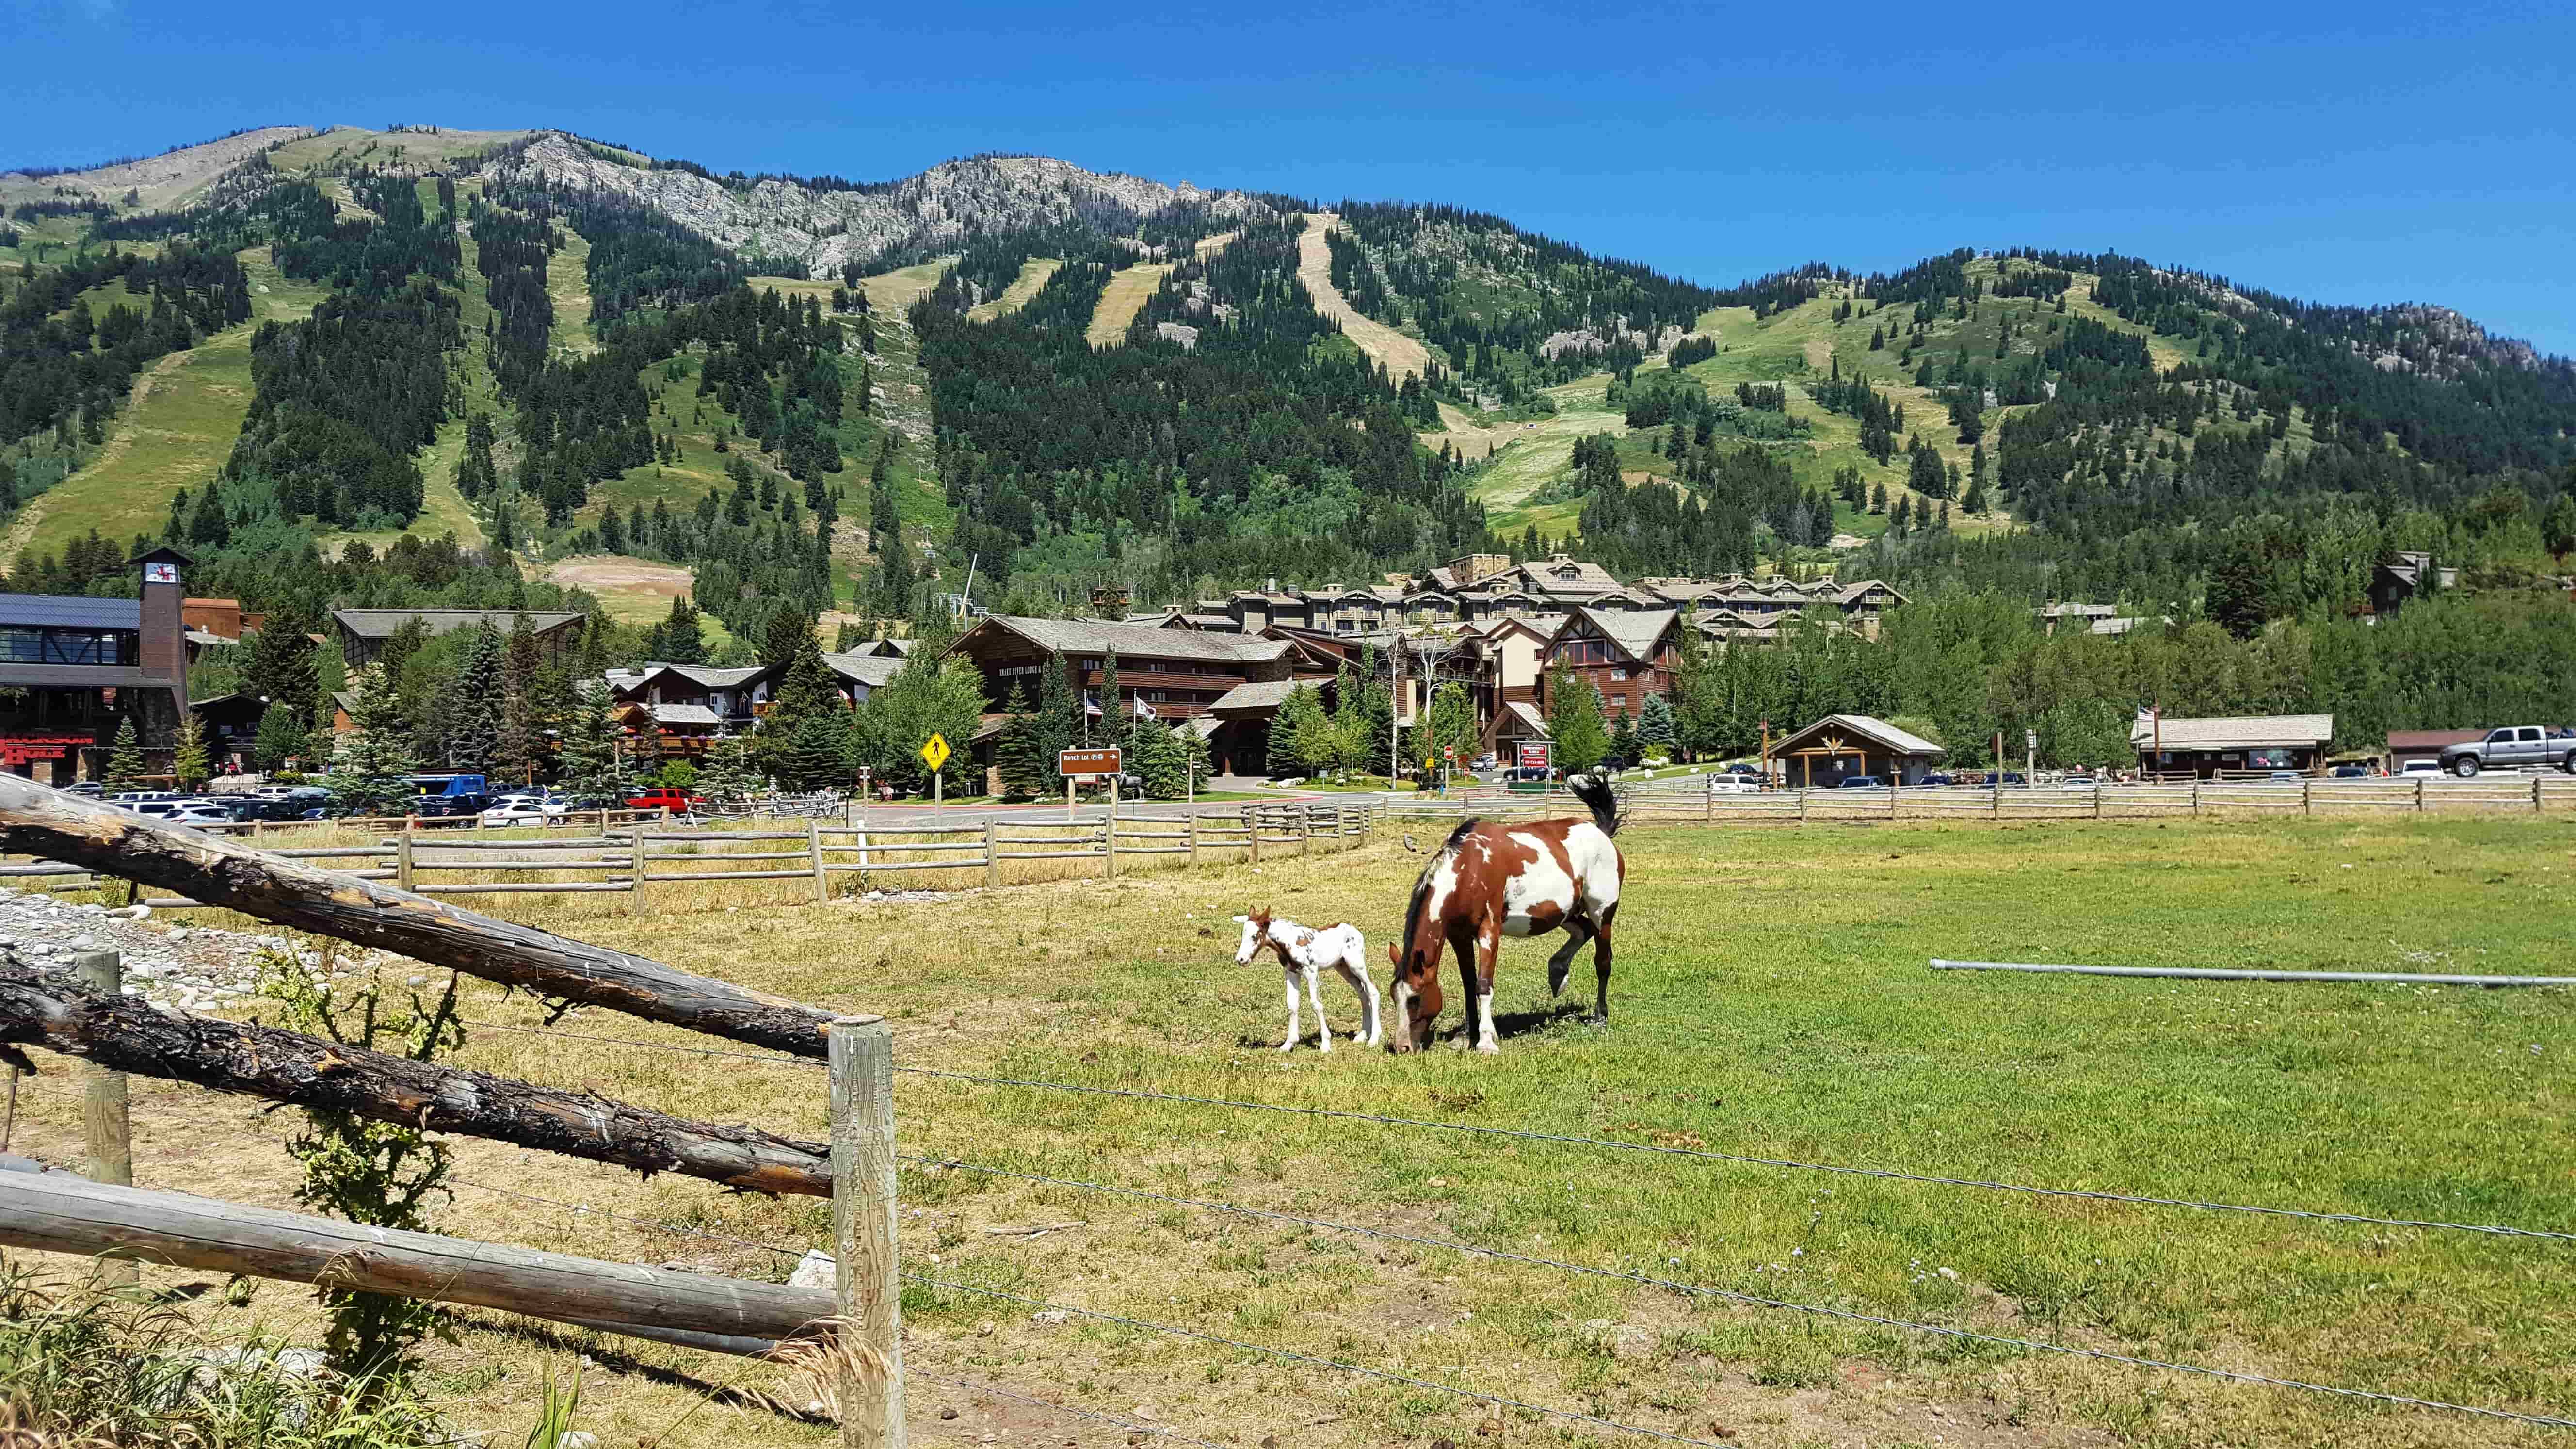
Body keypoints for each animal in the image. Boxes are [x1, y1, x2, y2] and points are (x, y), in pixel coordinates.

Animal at [1231, 902, 1381, 1046]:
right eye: (1243, 935)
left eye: (1255, 936)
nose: (1241, 960)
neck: (1290, 943)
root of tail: (1356, 931)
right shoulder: (1291, 973)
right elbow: (1292, 1004)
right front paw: (1289, 1044)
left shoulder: (1312, 973)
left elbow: (1316, 1004)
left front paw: (1326, 1044)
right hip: (1343, 968)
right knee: (1362, 993)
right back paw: (1362, 1036)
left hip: (1356, 965)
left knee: (1372, 991)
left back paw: (1374, 1039)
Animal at [1391, 778, 1628, 1046]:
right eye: (1394, 997)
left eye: (1415, 998)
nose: (1403, 1047)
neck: (1468, 869)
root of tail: (1602, 834)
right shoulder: (1459, 937)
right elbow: (1469, 983)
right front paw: (1466, 1035)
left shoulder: (1489, 931)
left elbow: (1484, 985)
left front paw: (1486, 1040)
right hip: (1565, 913)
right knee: (1583, 931)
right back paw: (1557, 973)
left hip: (1602, 914)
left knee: (1603, 962)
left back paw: (1600, 1017)